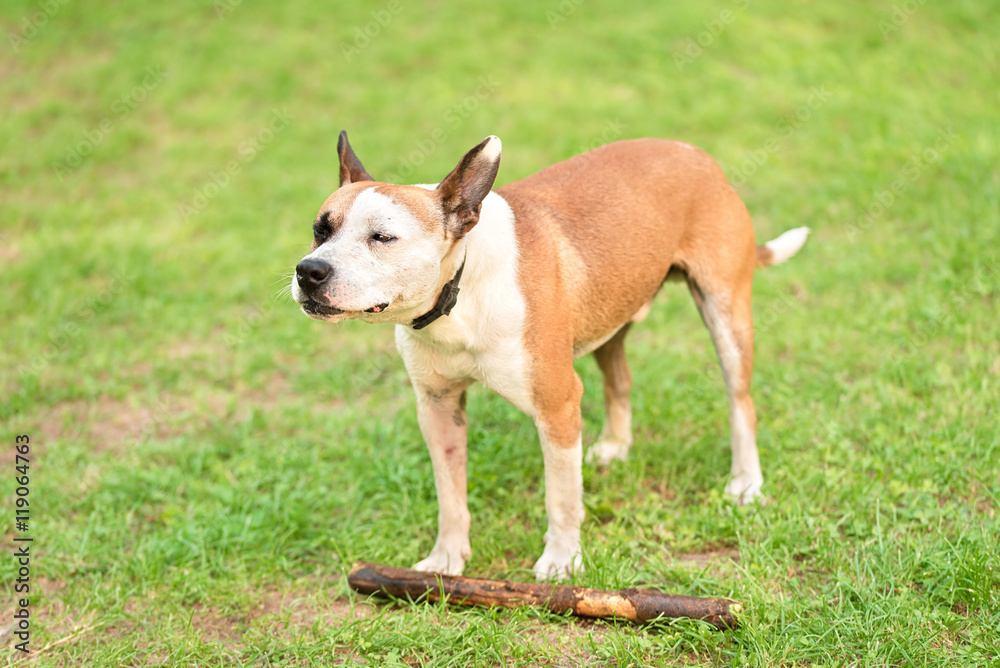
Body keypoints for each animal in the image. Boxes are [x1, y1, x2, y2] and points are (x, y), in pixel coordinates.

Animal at [292, 130, 808, 580]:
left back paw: (745, 483)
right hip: (611, 317)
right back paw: (616, 446)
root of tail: (696, 154)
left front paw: (561, 561)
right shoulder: (438, 409)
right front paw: (447, 560)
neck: (461, 289)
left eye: (382, 238)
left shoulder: (557, 407)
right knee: (620, 378)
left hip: (726, 316)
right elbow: (450, 496)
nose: (309, 271)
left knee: (741, 402)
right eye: (320, 230)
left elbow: (561, 497)